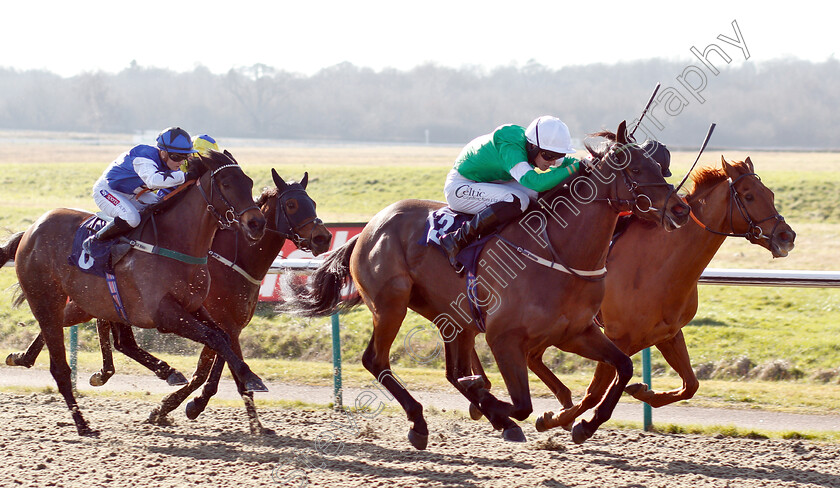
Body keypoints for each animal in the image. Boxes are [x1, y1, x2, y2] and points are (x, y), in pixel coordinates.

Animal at [5, 169, 332, 434]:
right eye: (292, 204)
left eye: (314, 203)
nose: (323, 238)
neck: (233, 260)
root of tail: (33, 229)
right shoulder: (212, 319)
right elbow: (209, 371)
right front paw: (180, 407)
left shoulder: (229, 325)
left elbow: (218, 367)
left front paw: (253, 422)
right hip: (81, 300)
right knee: (67, 325)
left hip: (96, 301)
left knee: (102, 333)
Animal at [282, 120, 688, 448]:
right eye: (635, 168)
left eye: (658, 166)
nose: (680, 209)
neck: (560, 252)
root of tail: (368, 227)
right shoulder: (503, 337)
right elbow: (521, 403)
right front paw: (499, 404)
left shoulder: (576, 332)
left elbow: (623, 367)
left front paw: (584, 425)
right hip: (391, 303)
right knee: (376, 359)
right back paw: (421, 423)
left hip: (451, 317)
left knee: (451, 371)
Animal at [516, 155, 796, 430]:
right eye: (749, 196)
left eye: (769, 194)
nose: (787, 236)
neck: (659, 265)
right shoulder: (617, 337)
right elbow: (594, 392)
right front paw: (563, 421)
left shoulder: (667, 333)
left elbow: (691, 385)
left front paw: (643, 391)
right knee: (531, 355)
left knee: (532, 356)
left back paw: (563, 399)